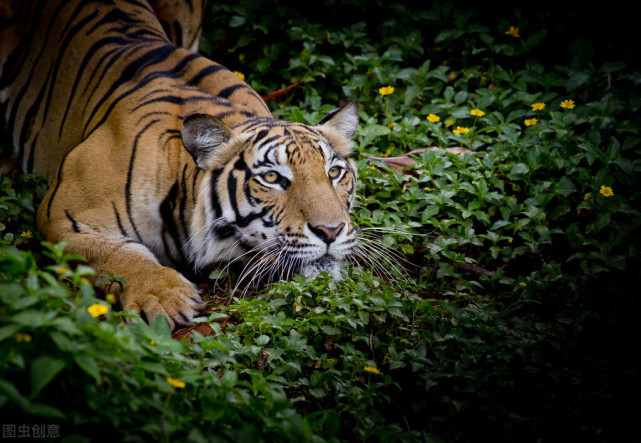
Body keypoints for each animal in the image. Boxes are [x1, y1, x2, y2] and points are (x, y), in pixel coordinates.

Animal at [0, 0, 358, 330]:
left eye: (334, 173)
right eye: (272, 177)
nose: (331, 231)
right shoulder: (62, 215)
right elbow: (116, 254)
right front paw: (163, 297)